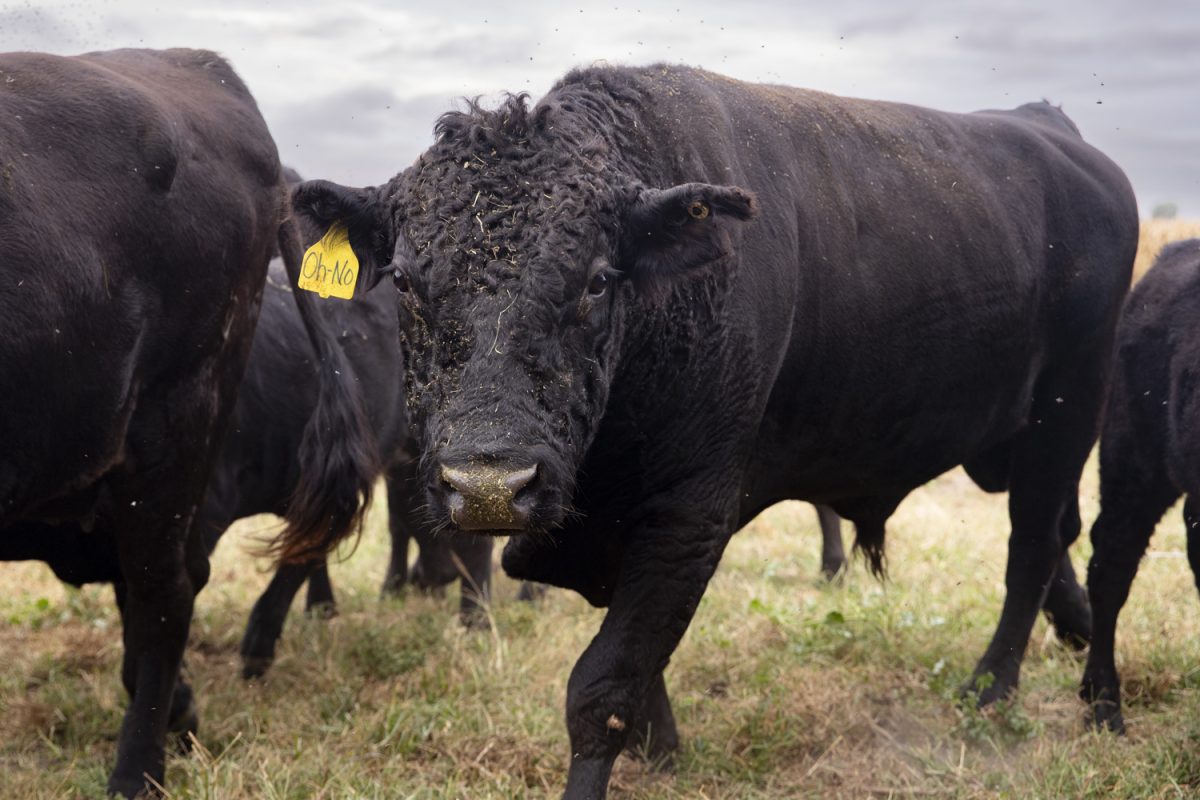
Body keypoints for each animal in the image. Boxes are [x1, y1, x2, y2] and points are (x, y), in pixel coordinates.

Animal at [288, 65, 1136, 798]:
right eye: (404, 282)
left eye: (598, 281)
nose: (490, 486)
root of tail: (1053, 135)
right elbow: (639, 664)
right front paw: (663, 749)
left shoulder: (688, 515)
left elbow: (604, 687)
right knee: (1057, 536)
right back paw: (1075, 633)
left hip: (1070, 409)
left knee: (1032, 544)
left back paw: (992, 687)